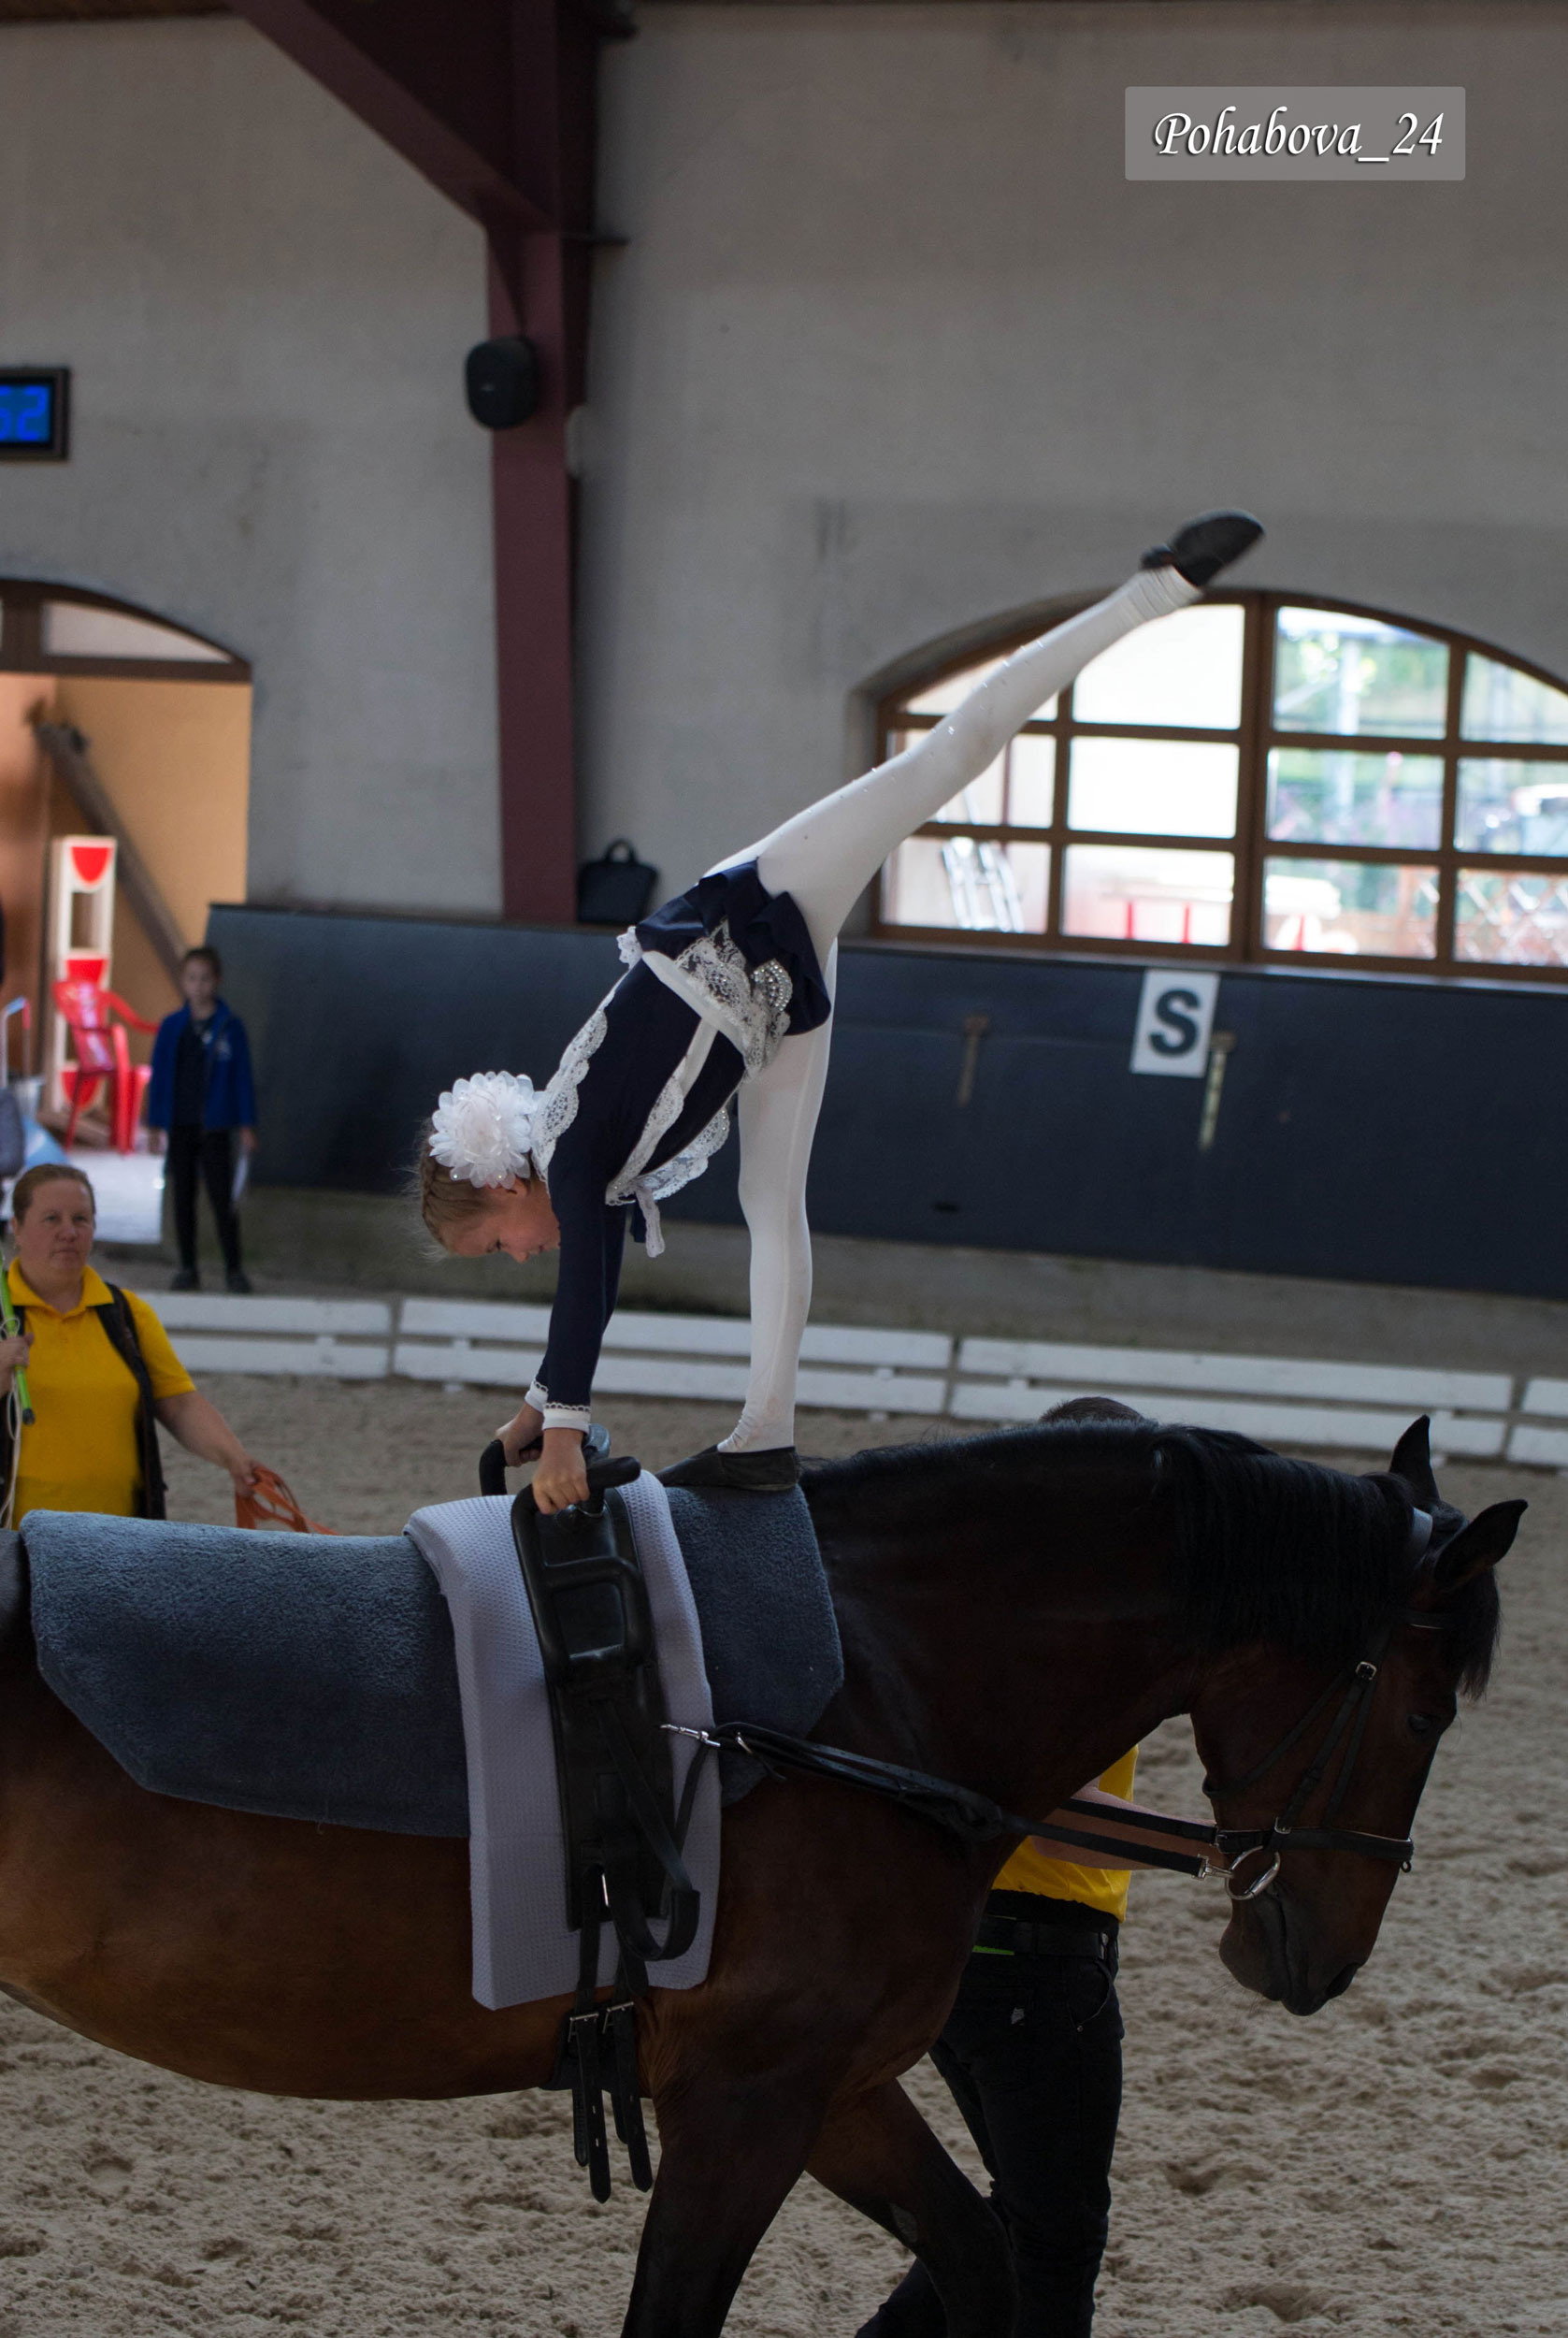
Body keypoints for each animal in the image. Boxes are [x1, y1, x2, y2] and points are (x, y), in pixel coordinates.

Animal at [0, 1413, 1517, 2337]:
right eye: (1423, 1713)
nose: (1317, 1958)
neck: (870, 1693)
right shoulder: (743, 2104)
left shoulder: (833, 2091)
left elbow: (980, 2260)